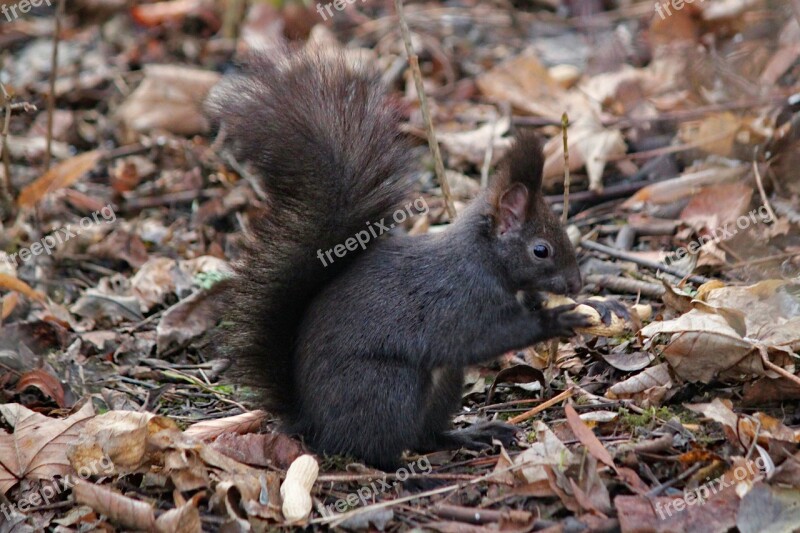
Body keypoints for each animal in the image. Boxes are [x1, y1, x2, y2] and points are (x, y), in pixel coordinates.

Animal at [209, 47, 592, 468]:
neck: (484, 259)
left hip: (443, 383)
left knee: (426, 434)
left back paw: (467, 435)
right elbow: (488, 336)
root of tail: (311, 420)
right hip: (389, 387)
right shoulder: (461, 302)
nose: (576, 283)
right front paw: (555, 319)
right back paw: (404, 467)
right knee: (373, 447)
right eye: (541, 250)